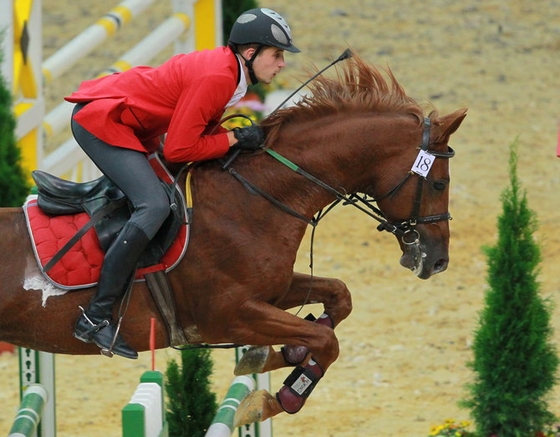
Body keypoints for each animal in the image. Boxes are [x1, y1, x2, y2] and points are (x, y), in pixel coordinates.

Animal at [0, 53, 466, 422]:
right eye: (440, 183)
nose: (437, 260)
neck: (257, 196)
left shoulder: (270, 292)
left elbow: (338, 298)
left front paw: (280, 356)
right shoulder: (228, 314)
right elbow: (325, 340)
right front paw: (276, 397)